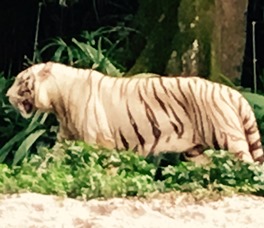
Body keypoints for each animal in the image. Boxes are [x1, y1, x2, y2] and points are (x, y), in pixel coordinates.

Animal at [6, 62, 264, 164]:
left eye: (21, 81)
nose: (7, 95)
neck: (59, 102)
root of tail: (233, 93)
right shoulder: (65, 140)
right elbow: (50, 160)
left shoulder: (99, 142)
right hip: (195, 150)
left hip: (228, 137)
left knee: (248, 162)